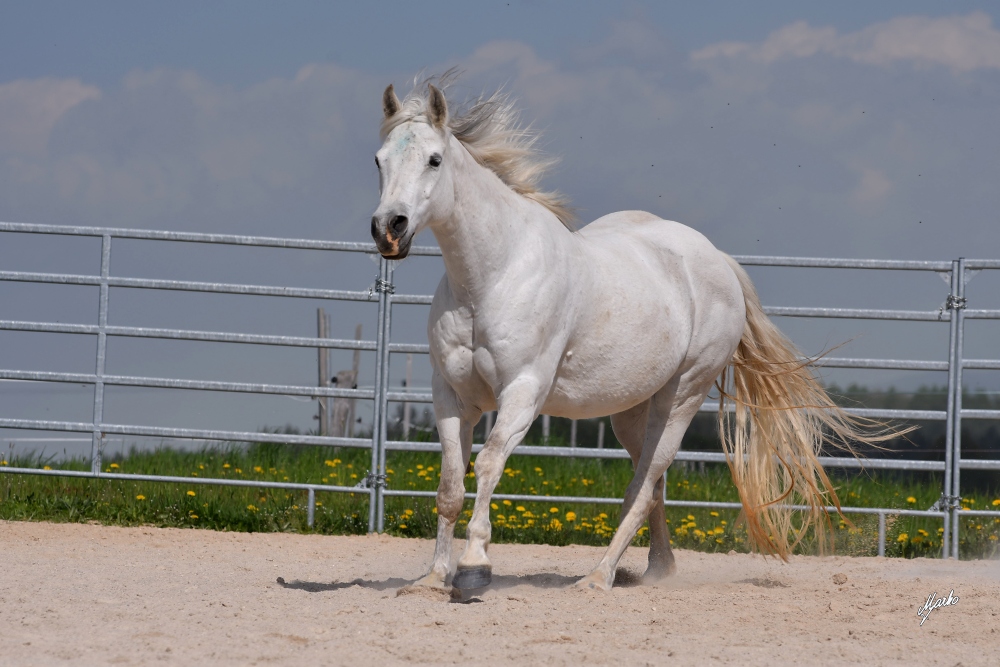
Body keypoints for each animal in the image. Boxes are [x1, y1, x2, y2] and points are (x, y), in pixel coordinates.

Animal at [370, 78, 892, 588]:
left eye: (434, 159)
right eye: (379, 159)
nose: (388, 228)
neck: (492, 276)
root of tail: (718, 261)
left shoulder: (522, 391)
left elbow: (490, 463)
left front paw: (475, 566)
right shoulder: (451, 395)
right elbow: (450, 486)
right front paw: (434, 577)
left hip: (681, 397)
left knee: (643, 487)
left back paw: (598, 577)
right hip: (630, 411)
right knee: (652, 485)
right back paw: (657, 571)